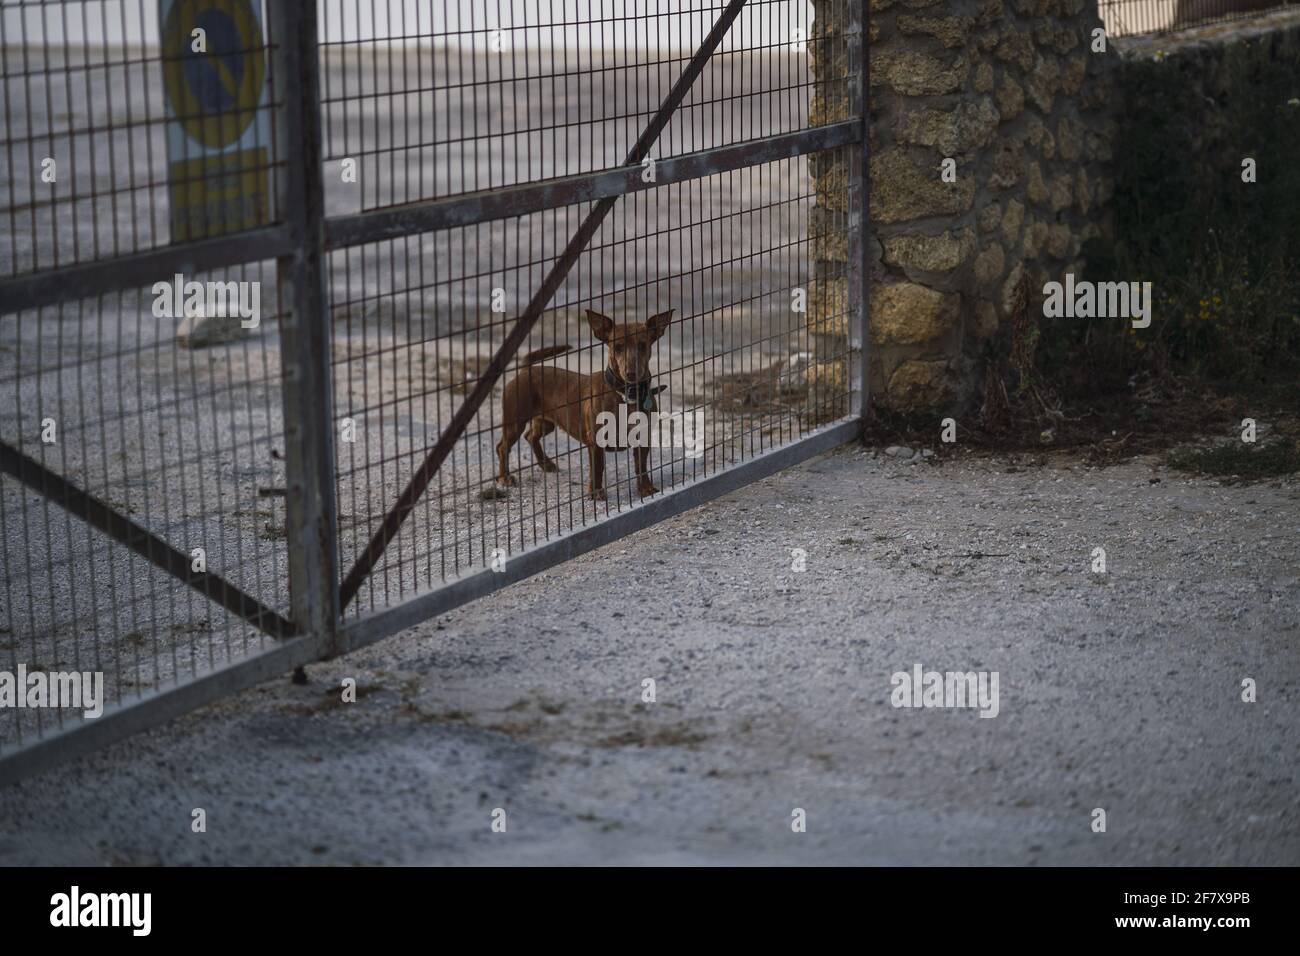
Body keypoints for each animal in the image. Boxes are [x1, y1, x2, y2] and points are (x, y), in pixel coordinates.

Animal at [496, 308, 676, 504]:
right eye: (617, 347)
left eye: (642, 345)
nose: (631, 373)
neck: (625, 394)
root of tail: (526, 369)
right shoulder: (596, 441)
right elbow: (597, 468)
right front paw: (595, 492)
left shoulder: (642, 437)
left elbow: (641, 466)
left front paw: (645, 488)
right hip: (514, 422)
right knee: (503, 446)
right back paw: (505, 477)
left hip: (546, 422)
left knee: (530, 436)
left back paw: (546, 463)